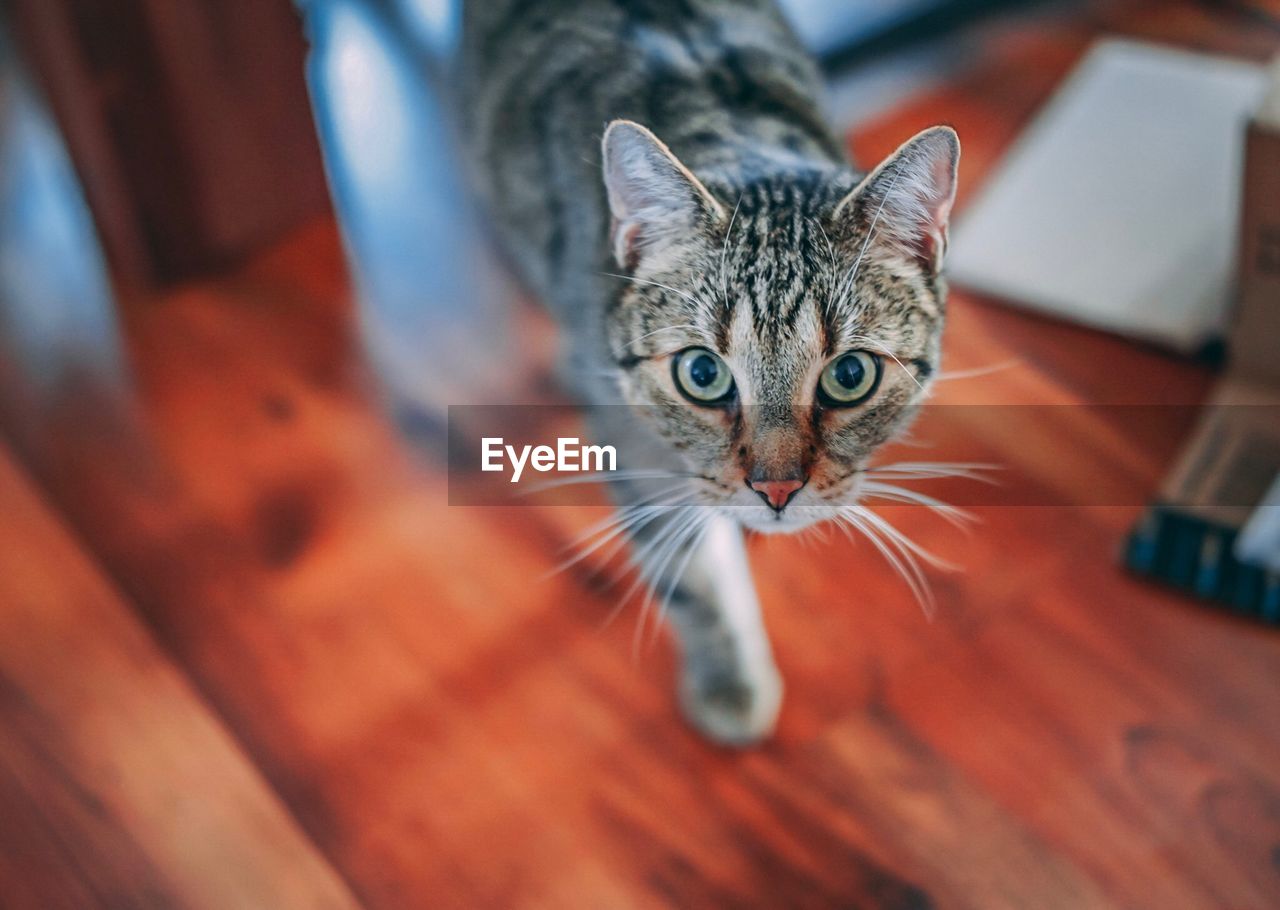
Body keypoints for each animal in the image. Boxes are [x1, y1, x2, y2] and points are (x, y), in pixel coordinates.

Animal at [455, 0, 957, 747]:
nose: (776, 490)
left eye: (850, 375)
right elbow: (690, 574)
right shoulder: (632, 441)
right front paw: (729, 679)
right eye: (701, 373)